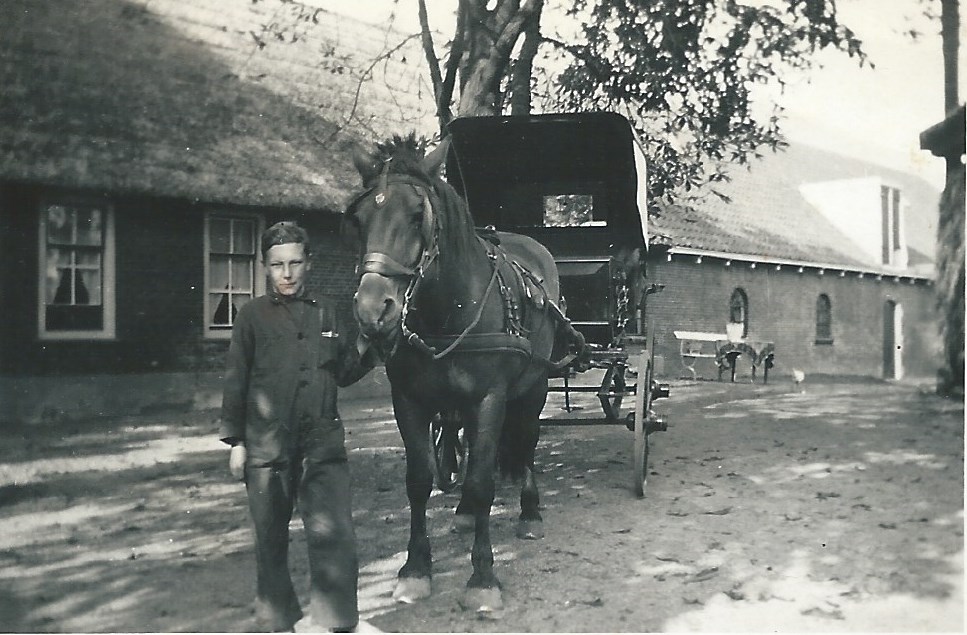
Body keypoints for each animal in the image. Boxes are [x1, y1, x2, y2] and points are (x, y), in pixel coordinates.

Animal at [350, 133, 588, 612]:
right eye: (360, 219)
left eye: (417, 215)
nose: (372, 311)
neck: (448, 309)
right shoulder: (409, 400)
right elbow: (419, 480)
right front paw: (415, 568)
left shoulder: (490, 398)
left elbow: (481, 482)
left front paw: (482, 576)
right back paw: (462, 514)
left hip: (533, 387)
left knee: (528, 440)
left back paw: (530, 511)